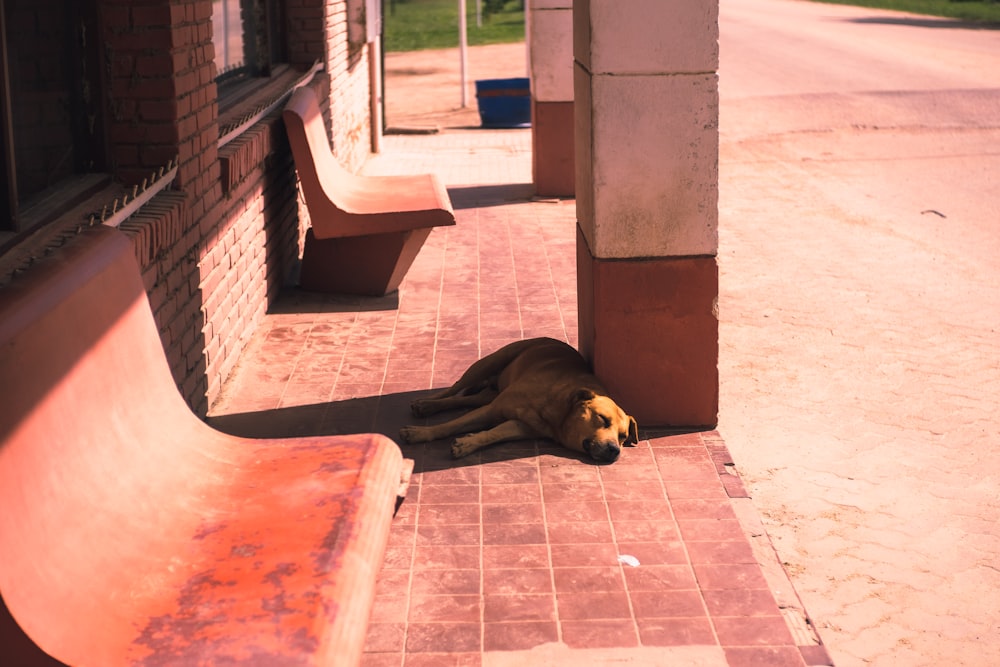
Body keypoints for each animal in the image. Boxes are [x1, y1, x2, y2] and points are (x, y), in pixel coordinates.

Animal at [396, 336, 636, 462]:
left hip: (488, 393)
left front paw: (469, 442)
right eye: (602, 419)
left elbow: (493, 434)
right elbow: (449, 425)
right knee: (453, 389)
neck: (557, 410)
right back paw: (427, 404)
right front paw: (421, 433)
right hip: (489, 362)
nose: (615, 450)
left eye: (623, 437)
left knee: (465, 400)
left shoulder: (521, 426)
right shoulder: (493, 409)